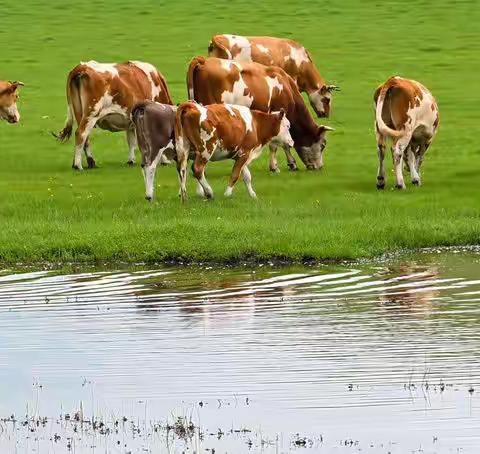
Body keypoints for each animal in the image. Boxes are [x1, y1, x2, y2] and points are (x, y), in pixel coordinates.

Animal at [186, 55, 332, 172]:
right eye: (323, 145)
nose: (320, 167)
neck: (287, 89)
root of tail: (204, 60)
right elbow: (278, 144)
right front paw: (279, 166)